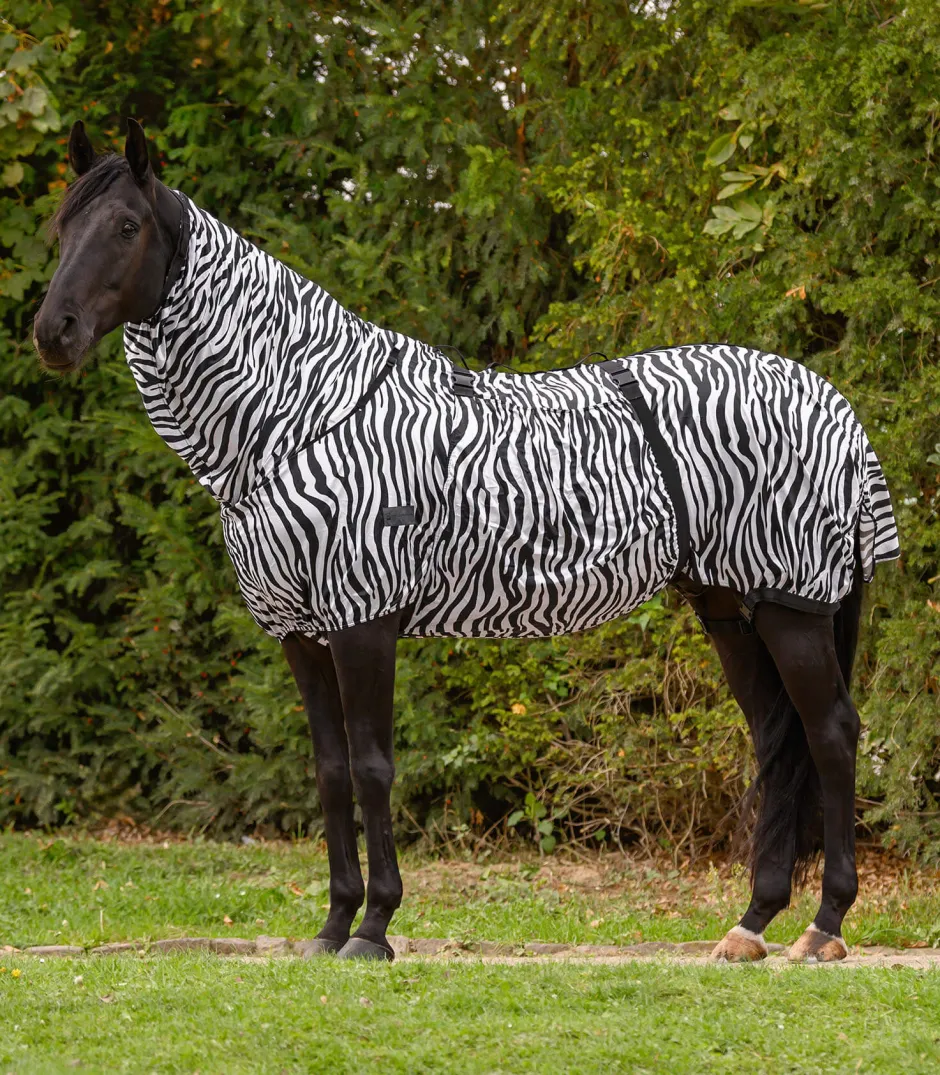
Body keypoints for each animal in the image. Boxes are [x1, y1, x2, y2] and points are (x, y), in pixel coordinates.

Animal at [33, 119, 900, 964]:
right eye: (62, 225)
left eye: (126, 226)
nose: (52, 333)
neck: (298, 414)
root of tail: (834, 405)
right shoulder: (299, 632)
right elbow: (330, 771)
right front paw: (331, 926)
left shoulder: (363, 618)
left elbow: (374, 767)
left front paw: (374, 928)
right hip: (730, 608)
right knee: (777, 740)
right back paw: (752, 924)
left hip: (791, 606)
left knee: (830, 733)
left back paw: (824, 925)